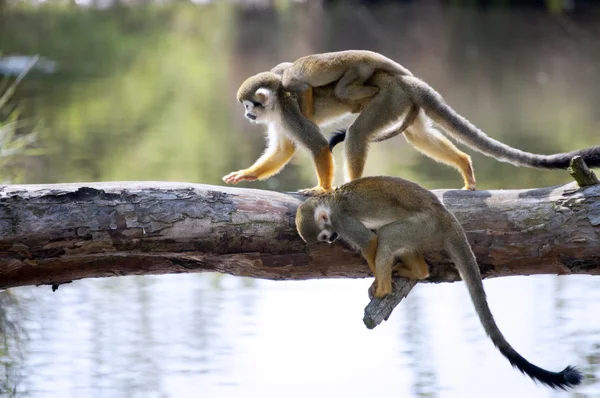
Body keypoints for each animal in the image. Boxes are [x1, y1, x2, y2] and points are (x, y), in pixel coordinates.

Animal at [298, 176, 584, 388]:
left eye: (324, 235)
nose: (331, 240)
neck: (330, 202)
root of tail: (445, 216)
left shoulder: (341, 220)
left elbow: (370, 242)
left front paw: (377, 283)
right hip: (424, 231)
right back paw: (417, 271)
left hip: (424, 226)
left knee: (388, 235)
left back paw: (385, 288)